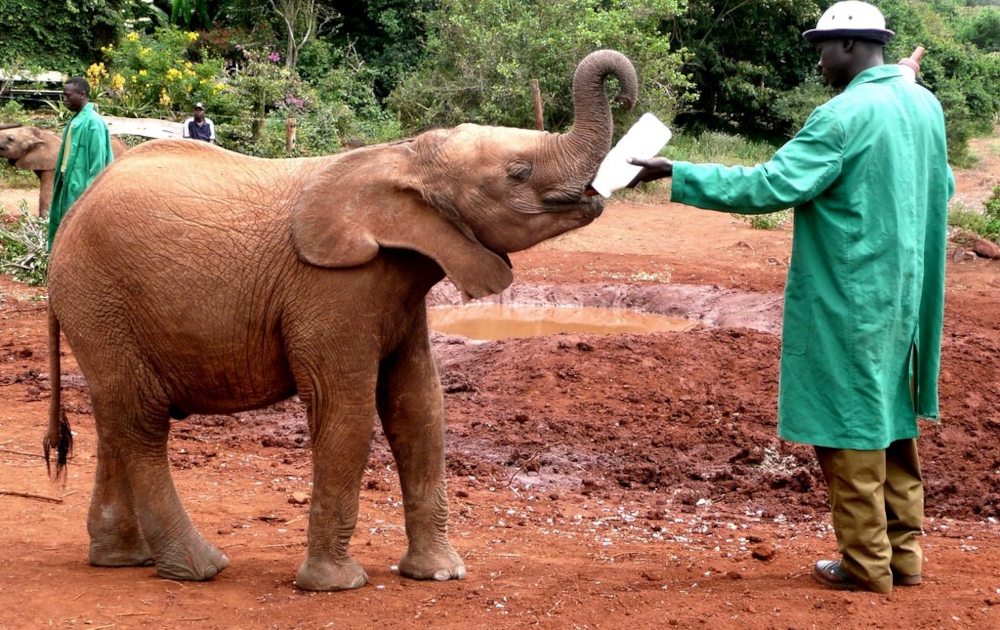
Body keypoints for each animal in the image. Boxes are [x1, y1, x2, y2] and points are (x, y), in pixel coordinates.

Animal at [44, 49, 638, 591]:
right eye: (519, 173)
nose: (629, 94)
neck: (406, 157)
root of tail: (67, 219)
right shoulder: (334, 287)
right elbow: (346, 407)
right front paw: (336, 585)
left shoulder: (401, 290)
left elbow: (419, 405)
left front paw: (440, 575)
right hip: (99, 295)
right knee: (143, 420)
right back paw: (200, 568)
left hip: (101, 308)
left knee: (116, 413)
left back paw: (123, 559)